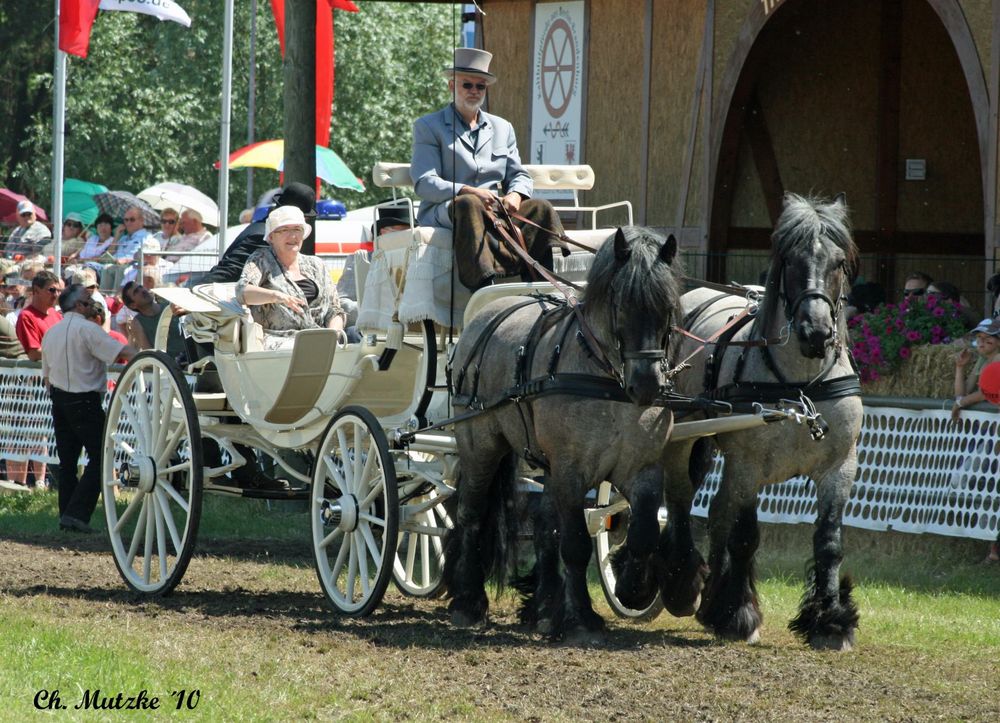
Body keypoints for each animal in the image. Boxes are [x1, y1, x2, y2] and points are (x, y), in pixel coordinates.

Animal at [444, 226, 684, 640]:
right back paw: (468, 601)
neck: (608, 381)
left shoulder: (643, 467)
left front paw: (631, 588)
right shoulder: (572, 471)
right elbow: (574, 544)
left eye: (667, 306)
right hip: (480, 446)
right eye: (621, 303)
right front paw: (583, 619)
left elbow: (644, 532)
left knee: (543, 528)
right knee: (471, 514)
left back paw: (544, 608)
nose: (647, 385)